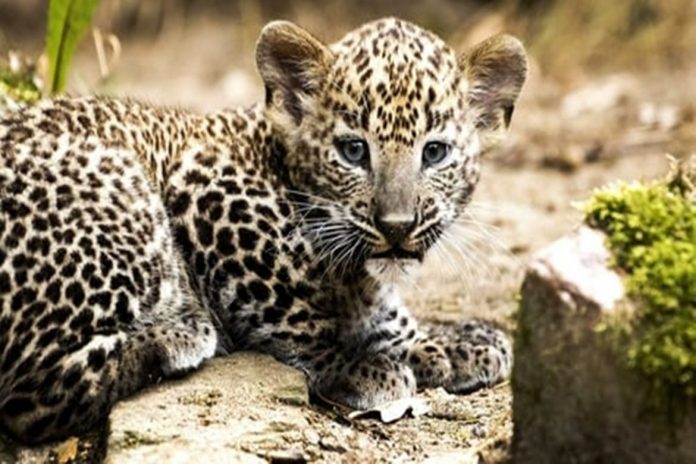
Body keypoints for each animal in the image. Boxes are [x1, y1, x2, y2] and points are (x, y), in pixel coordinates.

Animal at [0, 17, 527, 444]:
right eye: (353, 151)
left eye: (434, 153)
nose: (396, 226)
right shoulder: (206, 194)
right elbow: (294, 309)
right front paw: (361, 365)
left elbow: (387, 316)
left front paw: (455, 343)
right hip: (120, 181)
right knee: (31, 396)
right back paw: (180, 336)